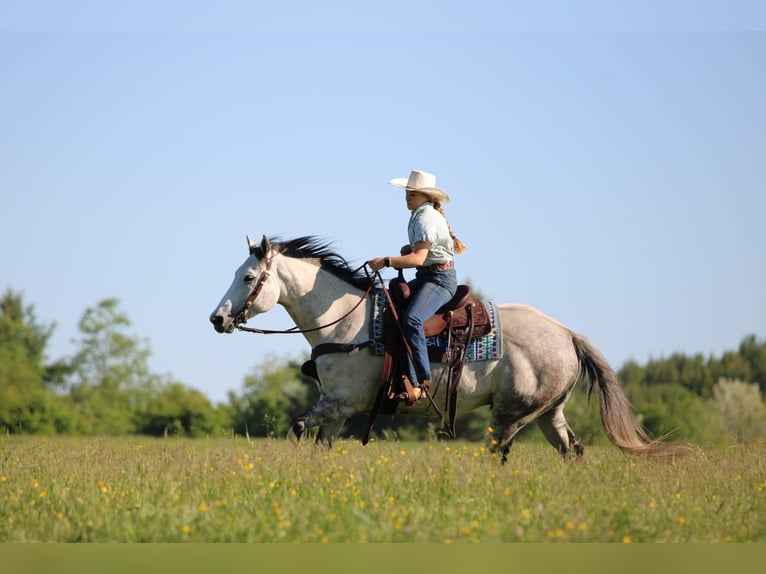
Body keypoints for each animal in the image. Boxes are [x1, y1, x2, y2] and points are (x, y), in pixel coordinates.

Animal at [210, 234, 683, 462]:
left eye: (249, 277)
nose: (217, 319)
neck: (347, 321)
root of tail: (567, 332)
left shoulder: (342, 401)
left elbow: (296, 427)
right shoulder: (334, 408)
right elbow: (317, 444)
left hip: (512, 414)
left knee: (500, 453)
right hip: (550, 413)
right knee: (572, 451)